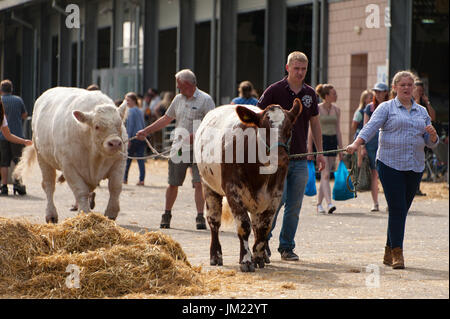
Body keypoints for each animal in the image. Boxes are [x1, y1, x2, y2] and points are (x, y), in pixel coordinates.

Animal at [14, 86, 126, 224]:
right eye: (97, 126)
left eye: (120, 124)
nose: (115, 143)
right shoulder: (69, 166)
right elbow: (81, 190)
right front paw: (85, 215)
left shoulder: (119, 162)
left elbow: (115, 187)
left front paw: (111, 213)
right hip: (43, 158)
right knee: (48, 185)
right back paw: (51, 214)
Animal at [193, 99, 302, 272]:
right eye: (263, 129)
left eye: (290, 129)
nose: (280, 157)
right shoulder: (233, 192)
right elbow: (244, 226)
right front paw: (246, 260)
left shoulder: (275, 196)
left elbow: (264, 228)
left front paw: (258, 257)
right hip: (208, 186)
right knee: (214, 221)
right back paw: (216, 255)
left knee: (257, 225)